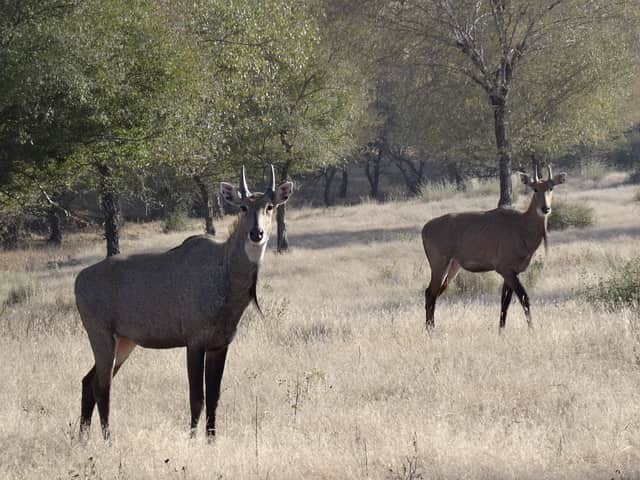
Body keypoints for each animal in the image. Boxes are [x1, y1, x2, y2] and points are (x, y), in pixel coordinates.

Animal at [75, 164, 292, 438]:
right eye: (243, 207)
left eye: (269, 206)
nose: (257, 233)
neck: (222, 272)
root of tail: (79, 279)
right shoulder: (194, 343)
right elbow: (196, 398)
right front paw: (192, 439)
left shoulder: (219, 346)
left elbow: (214, 398)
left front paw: (211, 440)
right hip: (101, 335)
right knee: (103, 387)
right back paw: (107, 440)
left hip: (124, 342)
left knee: (89, 381)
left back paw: (83, 439)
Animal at [422, 166, 568, 330]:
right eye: (535, 188)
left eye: (551, 187)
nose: (545, 208)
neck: (521, 226)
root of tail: (425, 229)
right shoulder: (505, 269)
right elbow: (524, 297)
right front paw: (532, 330)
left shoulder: (512, 272)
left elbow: (505, 303)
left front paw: (501, 330)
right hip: (439, 266)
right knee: (430, 294)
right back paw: (430, 330)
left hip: (452, 268)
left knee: (433, 293)